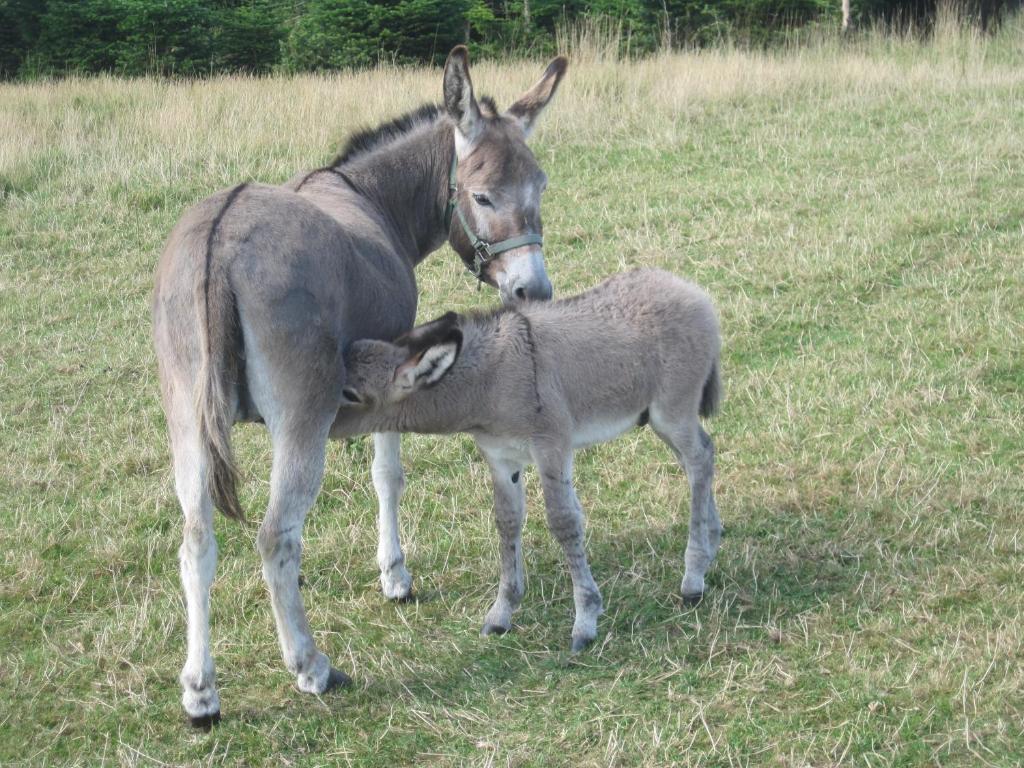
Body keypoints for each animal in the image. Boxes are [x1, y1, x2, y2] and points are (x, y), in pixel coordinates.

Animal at [335, 268, 720, 651]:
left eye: (350, 393)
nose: (321, 422)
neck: (491, 380)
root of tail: (691, 291)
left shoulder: (551, 447)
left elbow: (563, 522)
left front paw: (585, 619)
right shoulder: (502, 458)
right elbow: (507, 522)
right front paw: (501, 613)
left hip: (672, 411)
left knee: (699, 459)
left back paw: (693, 577)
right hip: (658, 418)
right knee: (699, 458)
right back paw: (711, 541)